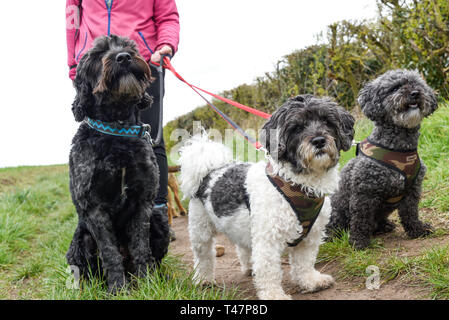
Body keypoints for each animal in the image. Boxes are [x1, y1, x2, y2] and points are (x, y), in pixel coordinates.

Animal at [66, 35, 170, 292]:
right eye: (97, 54)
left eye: (130, 47)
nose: (123, 57)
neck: (117, 130)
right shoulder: (94, 207)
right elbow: (110, 253)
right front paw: (117, 289)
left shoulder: (143, 202)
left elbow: (141, 247)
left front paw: (147, 283)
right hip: (79, 242)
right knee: (87, 272)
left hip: (160, 219)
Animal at [178, 95, 354, 300]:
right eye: (297, 128)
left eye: (327, 121)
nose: (319, 140)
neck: (297, 184)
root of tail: (210, 170)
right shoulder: (268, 240)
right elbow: (269, 270)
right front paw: (274, 295)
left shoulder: (309, 237)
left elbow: (304, 262)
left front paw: (310, 281)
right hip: (201, 230)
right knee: (204, 256)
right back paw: (203, 279)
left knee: (243, 247)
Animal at [326, 69, 438, 250]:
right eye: (394, 88)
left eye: (416, 84)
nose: (415, 93)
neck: (399, 148)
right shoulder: (364, 192)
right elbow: (361, 220)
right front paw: (359, 242)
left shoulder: (413, 190)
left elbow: (411, 213)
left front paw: (417, 230)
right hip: (336, 212)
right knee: (337, 226)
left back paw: (385, 225)